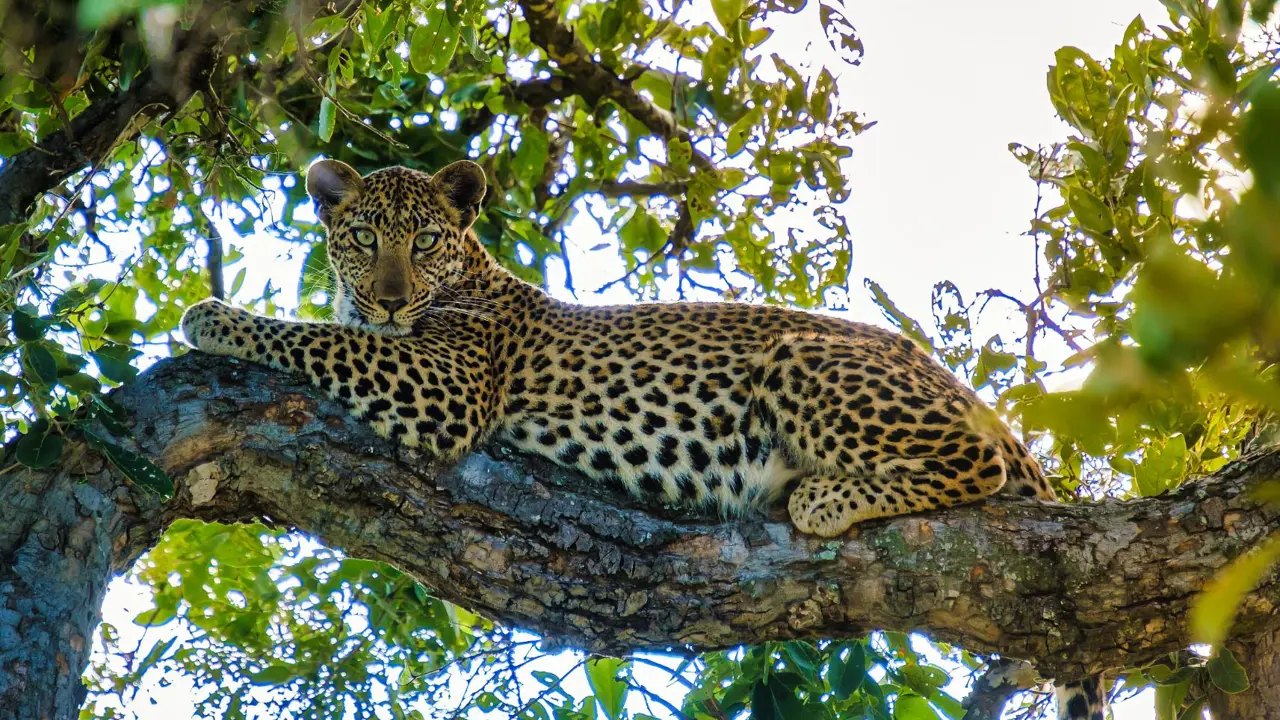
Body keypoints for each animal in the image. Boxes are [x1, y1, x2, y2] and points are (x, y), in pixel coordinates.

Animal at [180, 159, 1104, 720]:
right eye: (364, 238)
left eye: (428, 239)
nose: (391, 297)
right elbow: (332, 332)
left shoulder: (445, 381)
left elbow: (316, 338)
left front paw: (214, 317)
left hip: (804, 357)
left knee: (976, 464)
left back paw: (824, 496)